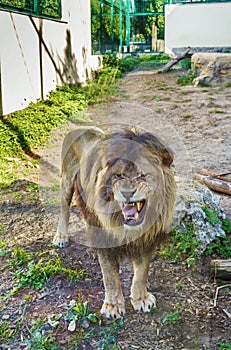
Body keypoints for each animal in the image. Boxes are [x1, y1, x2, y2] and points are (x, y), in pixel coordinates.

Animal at [53, 126, 177, 320]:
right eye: (118, 175)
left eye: (142, 175)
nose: (127, 193)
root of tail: (77, 129)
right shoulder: (104, 239)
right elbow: (109, 275)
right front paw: (112, 306)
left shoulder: (147, 239)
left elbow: (142, 272)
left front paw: (141, 299)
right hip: (66, 181)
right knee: (64, 210)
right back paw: (61, 237)